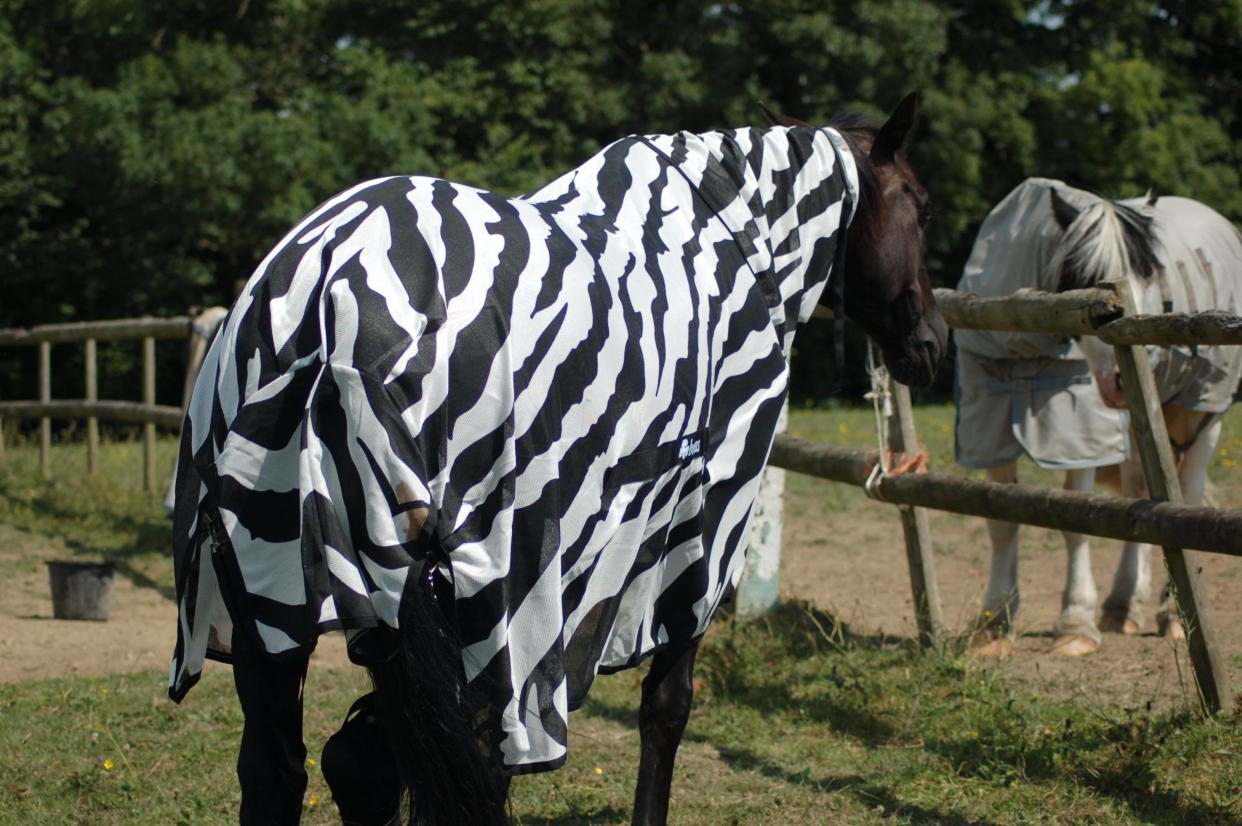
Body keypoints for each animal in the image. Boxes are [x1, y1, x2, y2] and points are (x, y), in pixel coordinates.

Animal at [165, 93, 938, 819]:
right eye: (922, 207)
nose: (929, 345)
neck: (731, 243)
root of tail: (321, 296)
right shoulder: (698, 538)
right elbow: (664, 710)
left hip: (273, 604)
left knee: (291, 772)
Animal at [953, 178, 1237, 655]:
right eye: (1084, 279)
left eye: (1150, 274)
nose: (1137, 368)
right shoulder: (989, 421)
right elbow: (1000, 520)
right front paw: (994, 621)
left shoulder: (1081, 432)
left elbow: (1076, 522)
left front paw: (1074, 624)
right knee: (1145, 491)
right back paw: (1122, 605)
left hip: (1201, 415)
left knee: (1186, 495)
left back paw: (1171, 618)